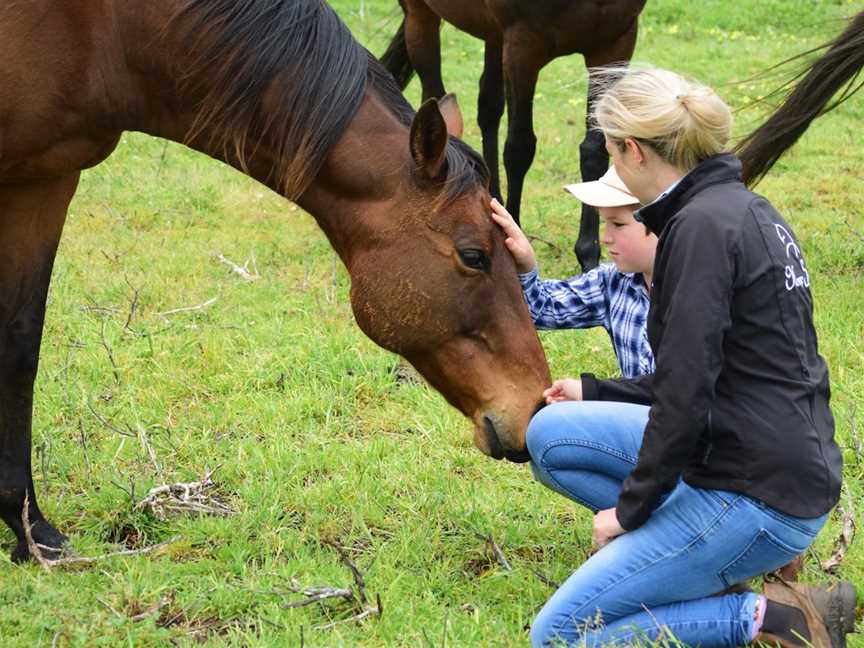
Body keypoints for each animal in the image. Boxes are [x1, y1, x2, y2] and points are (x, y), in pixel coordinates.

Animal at [0, 0, 552, 560]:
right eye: (474, 255)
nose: (535, 405)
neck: (108, 33)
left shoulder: (46, 179)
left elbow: (21, 346)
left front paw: (29, 529)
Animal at [382, 0, 644, 270]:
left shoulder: (614, 45)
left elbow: (595, 150)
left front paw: (589, 257)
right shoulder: (522, 46)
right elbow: (519, 148)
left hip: (494, 37)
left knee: (488, 108)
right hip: (422, 16)